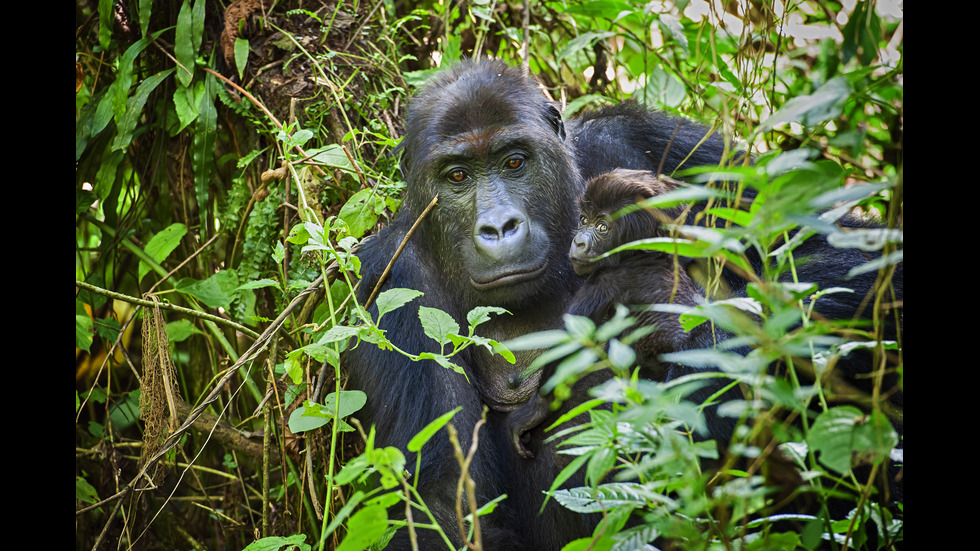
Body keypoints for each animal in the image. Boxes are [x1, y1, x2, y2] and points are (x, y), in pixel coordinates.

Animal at [510, 169, 708, 462]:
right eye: (583, 220)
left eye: (603, 227)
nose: (578, 242)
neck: (642, 255)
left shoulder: (605, 282)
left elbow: (573, 345)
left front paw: (537, 409)